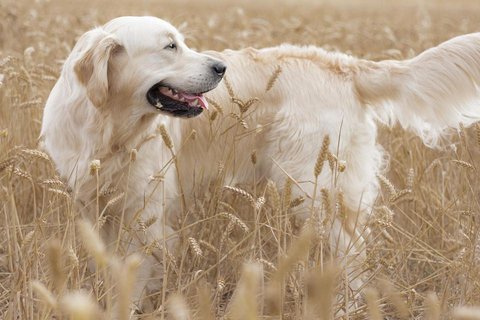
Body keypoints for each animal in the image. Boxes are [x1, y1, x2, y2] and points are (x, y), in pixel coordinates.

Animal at [39, 16, 480, 312]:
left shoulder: (145, 216)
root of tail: (344, 65)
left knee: (351, 260)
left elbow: (134, 274)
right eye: (169, 47)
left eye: (181, 43)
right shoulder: (95, 208)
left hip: (314, 190)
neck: (108, 128)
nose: (221, 67)